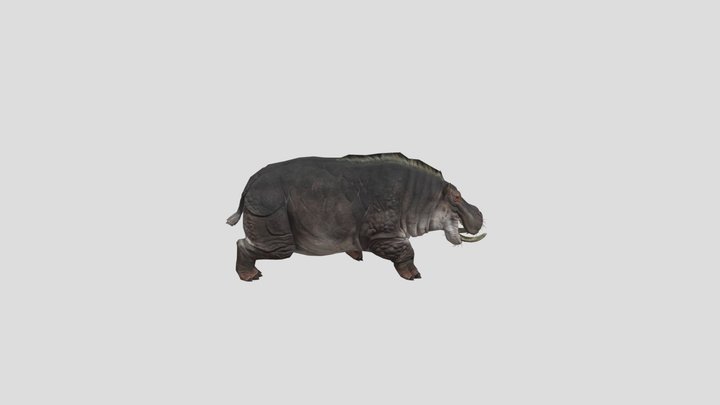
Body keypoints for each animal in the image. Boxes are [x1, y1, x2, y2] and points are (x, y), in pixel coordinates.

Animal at [226, 153, 485, 281]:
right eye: (457, 197)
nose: (480, 214)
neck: (422, 198)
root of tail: (250, 182)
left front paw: (356, 256)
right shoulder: (382, 234)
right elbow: (406, 251)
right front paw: (414, 276)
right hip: (275, 225)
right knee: (248, 244)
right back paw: (251, 277)